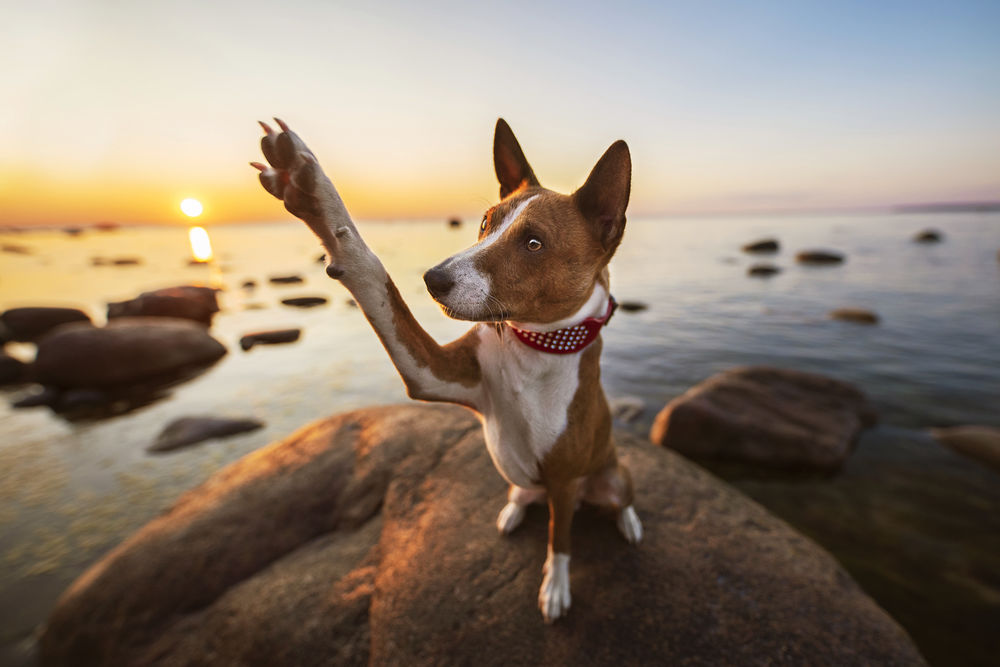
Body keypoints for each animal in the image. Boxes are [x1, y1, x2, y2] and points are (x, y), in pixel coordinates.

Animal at [250, 117, 640, 624]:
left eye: (534, 243)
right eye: (485, 223)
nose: (433, 279)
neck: (533, 346)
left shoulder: (564, 481)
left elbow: (561, 540)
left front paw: (555, 587)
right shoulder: (431, 371)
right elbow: (374, 281)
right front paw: (309, 187)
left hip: (608, 476)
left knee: (617, 498)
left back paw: (629, 521)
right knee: (524, 493)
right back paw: (514, 508)